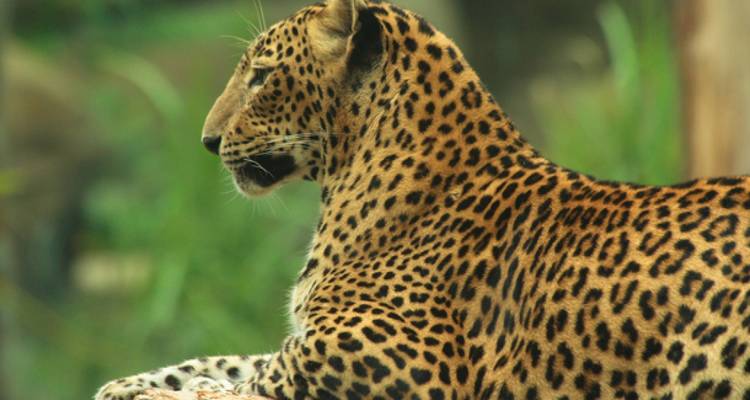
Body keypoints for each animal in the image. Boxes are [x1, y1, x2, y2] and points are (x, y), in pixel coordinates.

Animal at [96, 0, 750, 399]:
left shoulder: (403, 362)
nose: (207, 141)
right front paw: (124, 385)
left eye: (260, 76)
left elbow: (250, 381)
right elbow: (226, 361)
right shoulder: (315, 340)